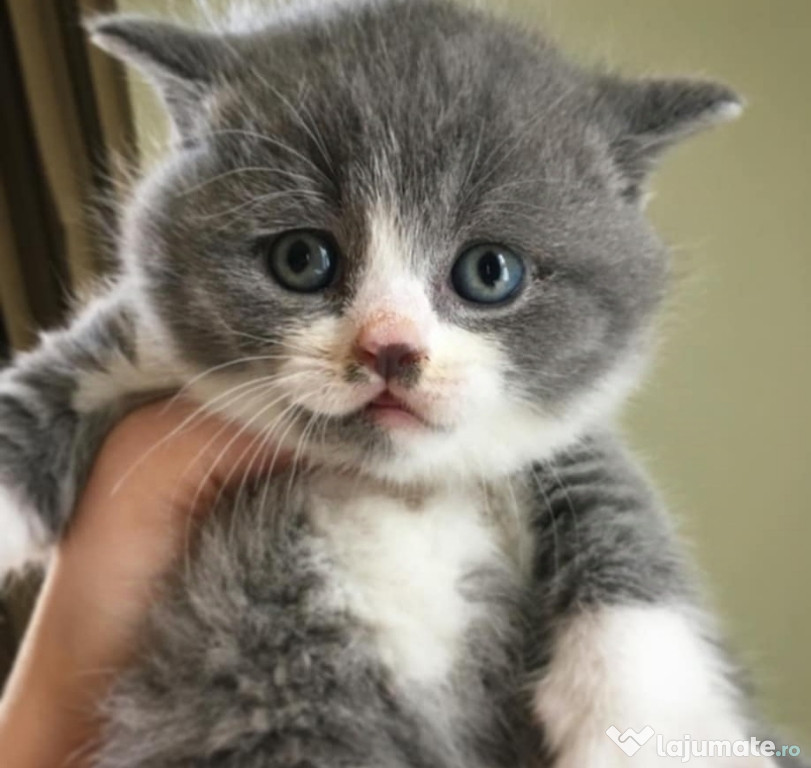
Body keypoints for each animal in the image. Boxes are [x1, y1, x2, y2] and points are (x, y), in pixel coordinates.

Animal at [0, 1, 780, 768]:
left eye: (489, 272)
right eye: (301, 258)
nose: (390, 348)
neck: (391, 488)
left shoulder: (565, 440)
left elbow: (617, 506)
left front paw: (649, 722)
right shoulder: (141, 346)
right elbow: (44, 388)